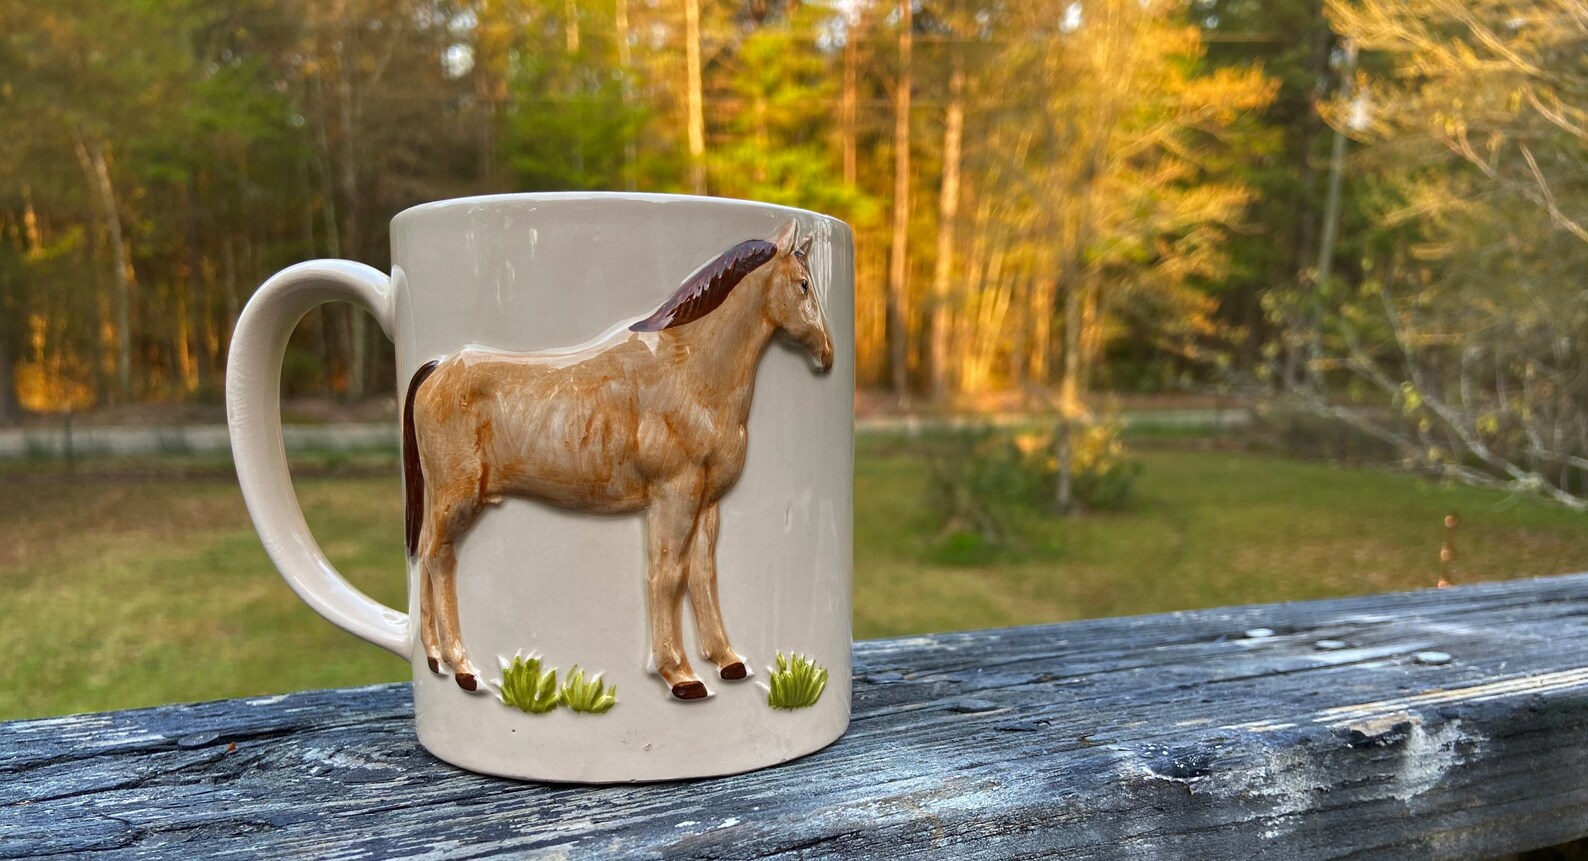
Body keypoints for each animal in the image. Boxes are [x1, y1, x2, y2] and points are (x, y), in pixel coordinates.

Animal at [402, 220, 833, 700]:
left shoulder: (707, 502)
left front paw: (727, 660)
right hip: (456, 499)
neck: (690, 371)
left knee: (428, 558)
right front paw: (680, 674)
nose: (827, 353)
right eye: (803, 284)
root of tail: (439, 368)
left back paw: (436, 660)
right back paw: (461, 668)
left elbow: (703, 576)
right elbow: (667, 574)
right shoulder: (674, 495)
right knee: (437, 560)